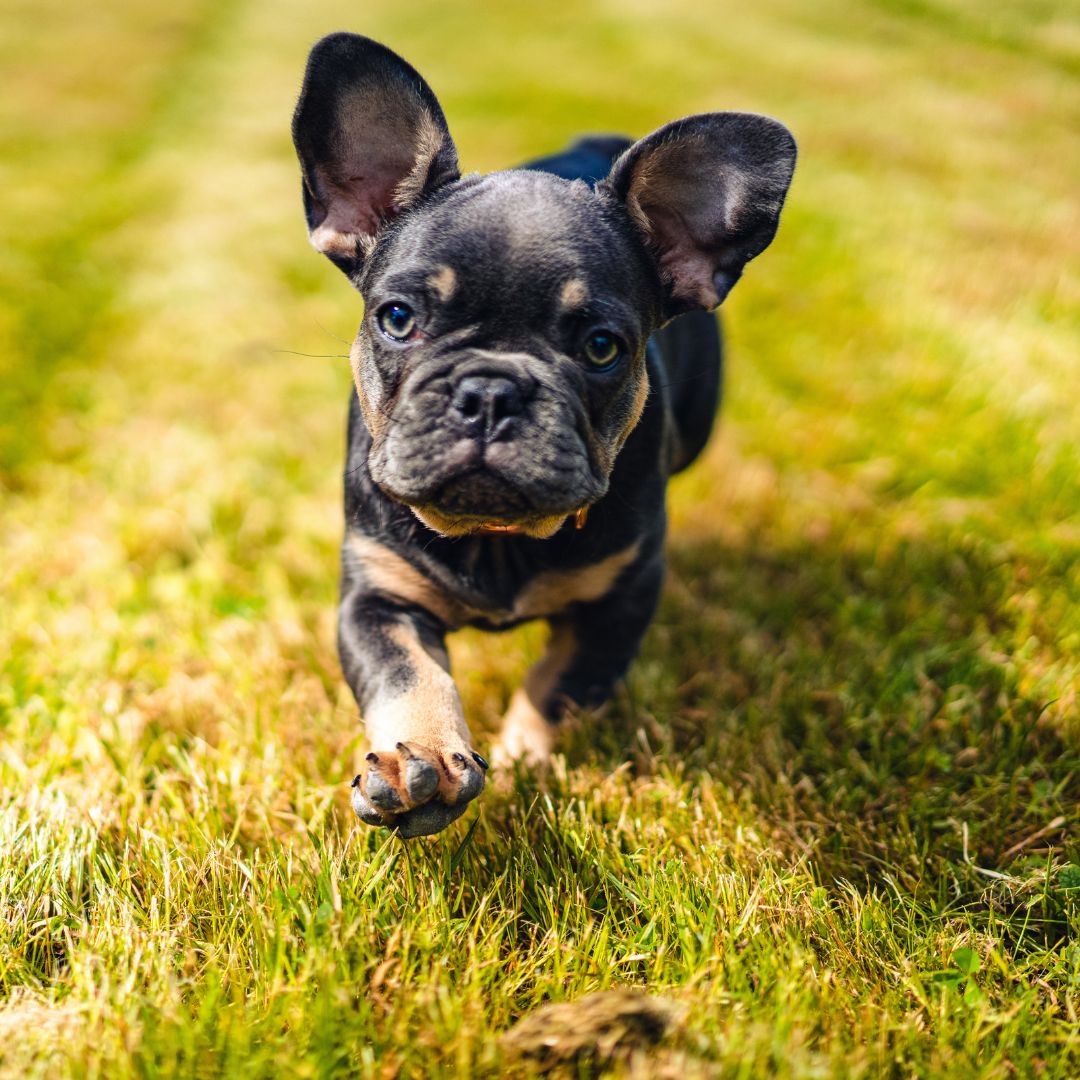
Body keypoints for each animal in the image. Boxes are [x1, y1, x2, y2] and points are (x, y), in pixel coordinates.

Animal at [291, 31, 799, 833]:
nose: (490, 391)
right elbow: (409, 675)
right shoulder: (377, 595)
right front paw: (421, 759)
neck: (496, 540)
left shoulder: (618, 602)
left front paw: (528, 760)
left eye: (601, 347)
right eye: (397, 318)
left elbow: (556, 686)